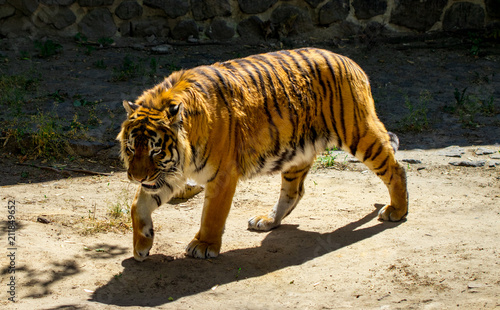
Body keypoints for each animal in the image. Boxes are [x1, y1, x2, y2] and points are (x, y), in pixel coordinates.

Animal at [119, 47, 408, 262]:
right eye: (132, 148)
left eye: (156, 151)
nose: (136, 177)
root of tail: (351, 62)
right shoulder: (167, 174)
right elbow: (137, 205)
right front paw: (142, 245)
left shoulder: (221, 175)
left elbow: (212, 214)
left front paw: (203, 245)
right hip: (297, 152)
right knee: (294, 191)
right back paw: (267, 220)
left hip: (359, 132)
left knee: (395, 168)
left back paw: (397, 210)